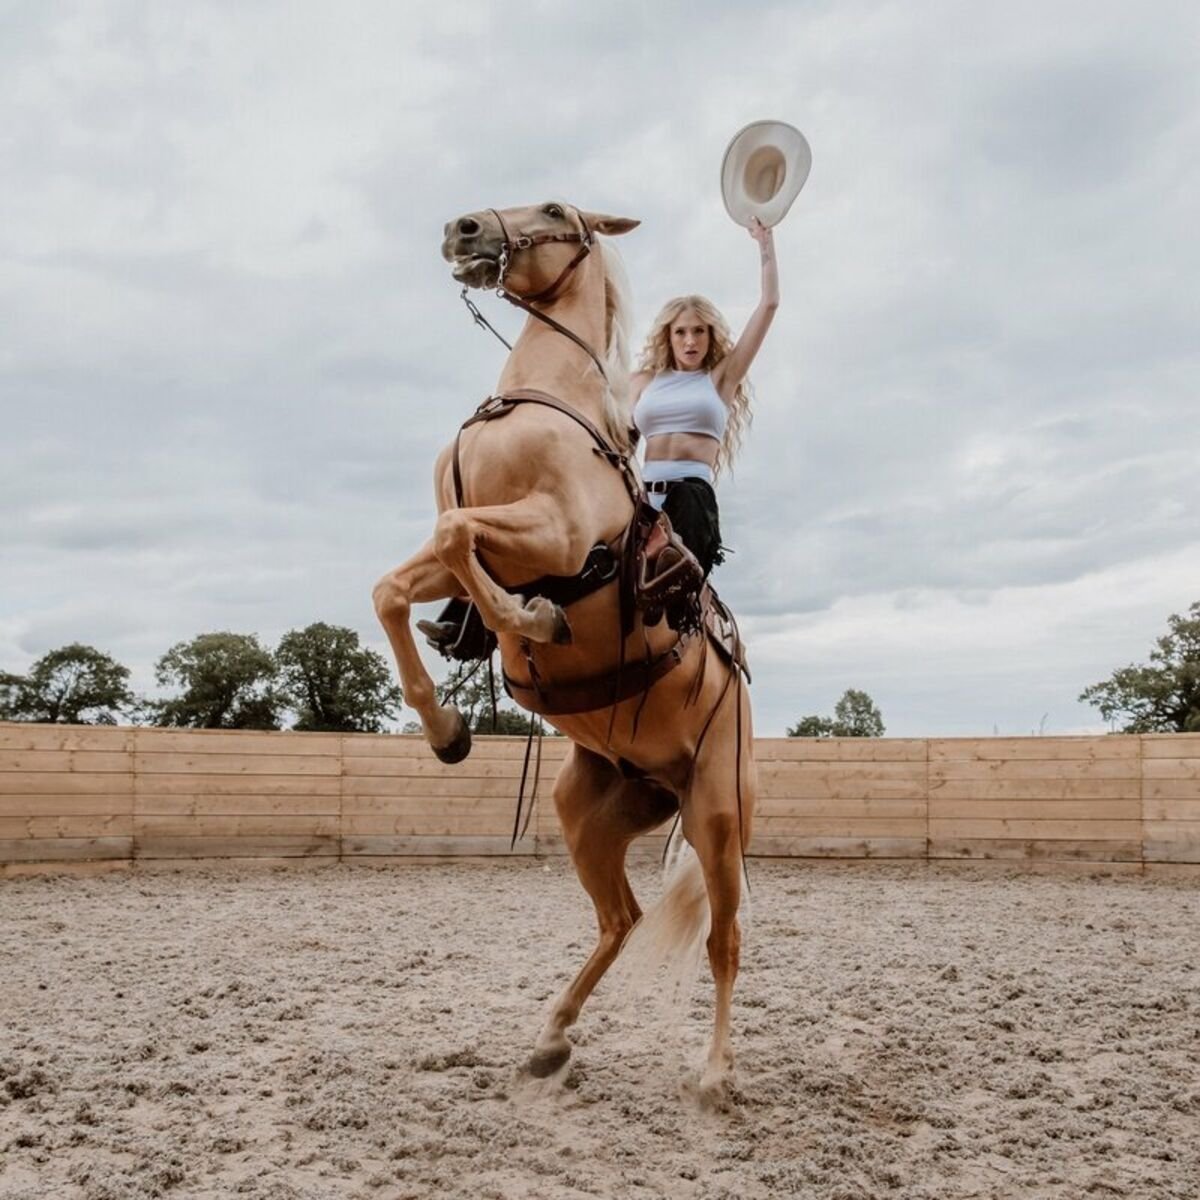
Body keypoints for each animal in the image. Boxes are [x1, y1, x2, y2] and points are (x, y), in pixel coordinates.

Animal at [369, 201, 753, 1099]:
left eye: (552, 210)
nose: (463, 230)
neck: (534, 404)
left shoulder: (557, 532)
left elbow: (460, 535)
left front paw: (536, 620)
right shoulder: (458, 545)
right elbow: (397, 586)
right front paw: (447, 729)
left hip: (718, 814)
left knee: (722, 940)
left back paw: (714, 1072)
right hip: (588, 813)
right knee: (622, 918)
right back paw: (549, 1037)